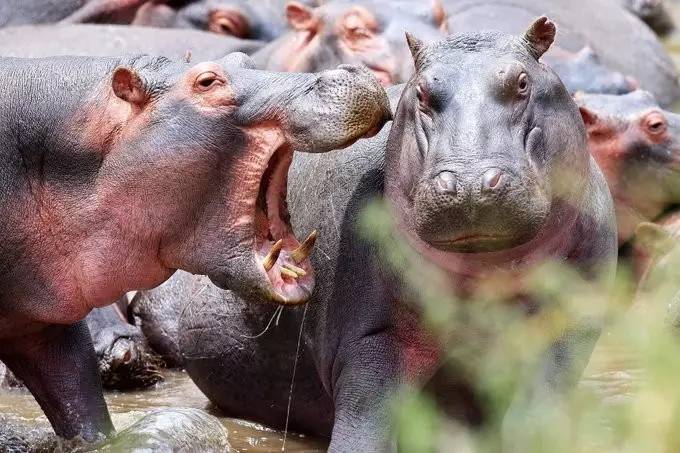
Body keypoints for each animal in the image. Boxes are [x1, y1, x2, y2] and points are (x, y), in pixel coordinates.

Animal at [175, 16, 616, 448]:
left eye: (523, 82)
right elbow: (364, 422)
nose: (469, 183)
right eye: (421, 92)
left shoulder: (568, 326)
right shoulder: (370, 338)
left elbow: (536, 410)